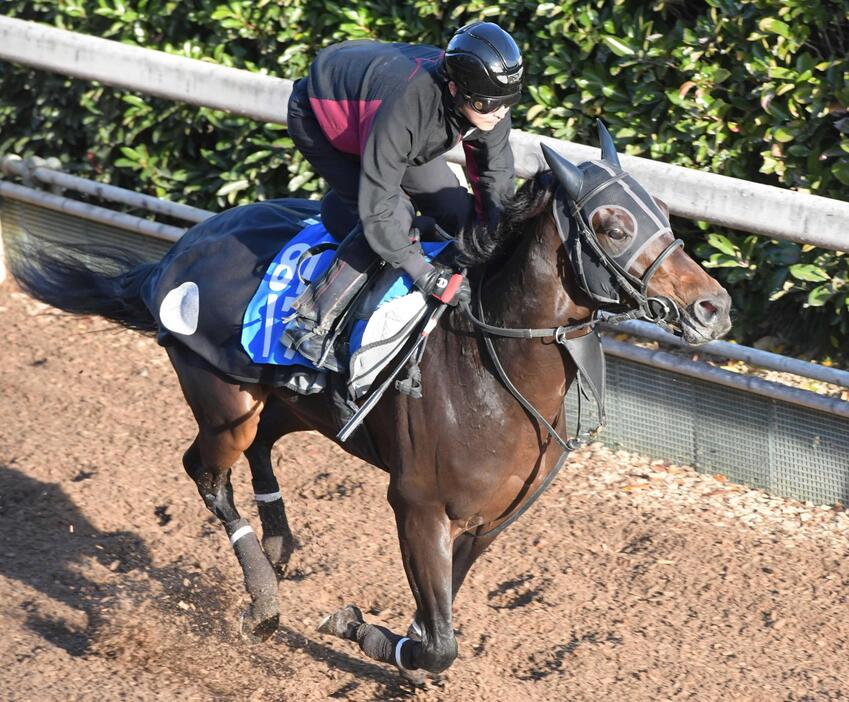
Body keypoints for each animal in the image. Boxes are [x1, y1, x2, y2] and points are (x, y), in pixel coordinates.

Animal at [8, 124, 728, 680]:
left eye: (665, 214)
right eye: (612, 224)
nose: (712, 306)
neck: (493, 374)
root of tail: (173, 258)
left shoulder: (488, 523)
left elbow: (438, 624)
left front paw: (397, 646)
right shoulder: (417, 506)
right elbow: (438, 644)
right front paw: (359, 629)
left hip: (288, 403)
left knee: (261, 450)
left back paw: (278, 545)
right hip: (223, 400)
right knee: (206, 473)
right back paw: (263, 600)